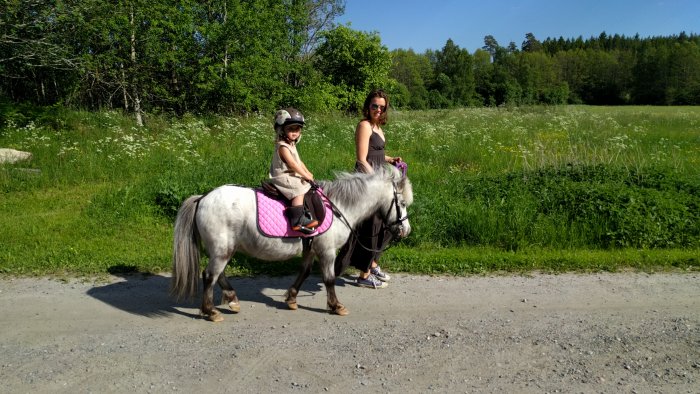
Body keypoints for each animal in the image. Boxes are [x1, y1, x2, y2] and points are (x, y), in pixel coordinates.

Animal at [171, 168, 410, 322]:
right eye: (402, 203)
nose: (405, 230)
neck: (338, 207)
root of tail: (202, 199)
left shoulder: (311, 249)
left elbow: (304, 273)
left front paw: (292, 299)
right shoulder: (327, 251)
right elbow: (329, 279)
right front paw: (336, 306)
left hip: (222, 250)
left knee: (217, 275)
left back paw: (232, 299)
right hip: (221, 250)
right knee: (209, 276)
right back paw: (211, 311)